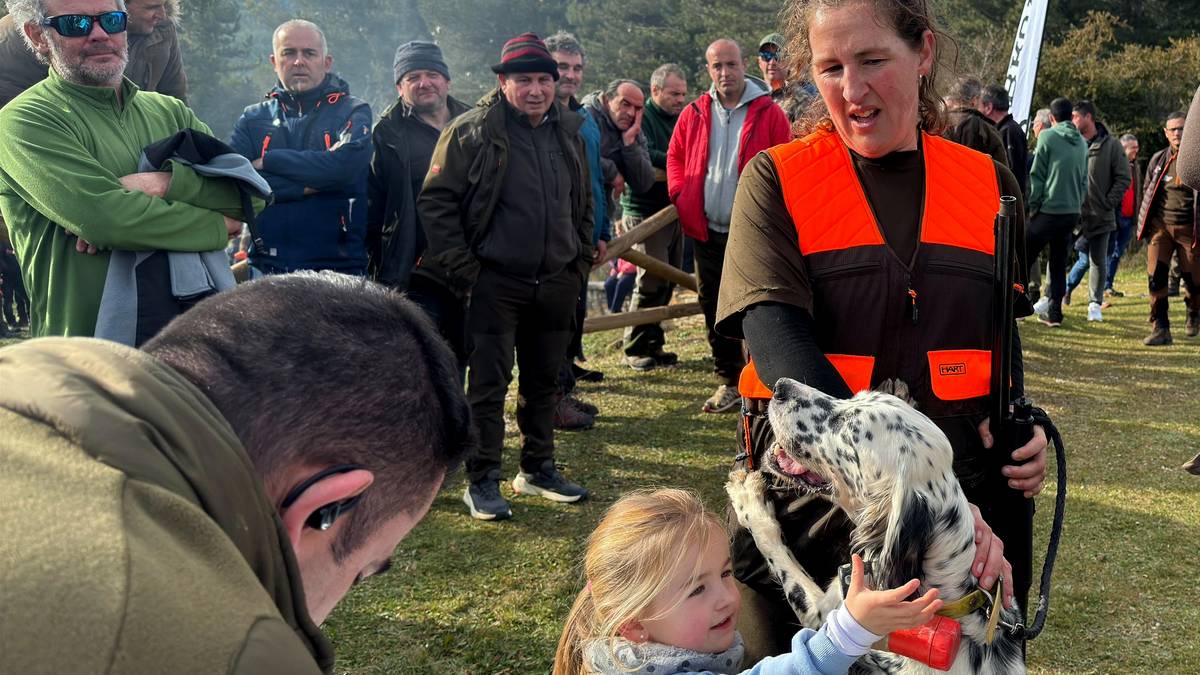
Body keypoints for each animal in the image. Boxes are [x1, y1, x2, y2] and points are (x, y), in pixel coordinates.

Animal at [720, 374, 1022, 667]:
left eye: (848, 427)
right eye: (853, 397)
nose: (781, 386)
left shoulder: (821, 616)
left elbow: (777, 549)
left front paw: (749, 499)